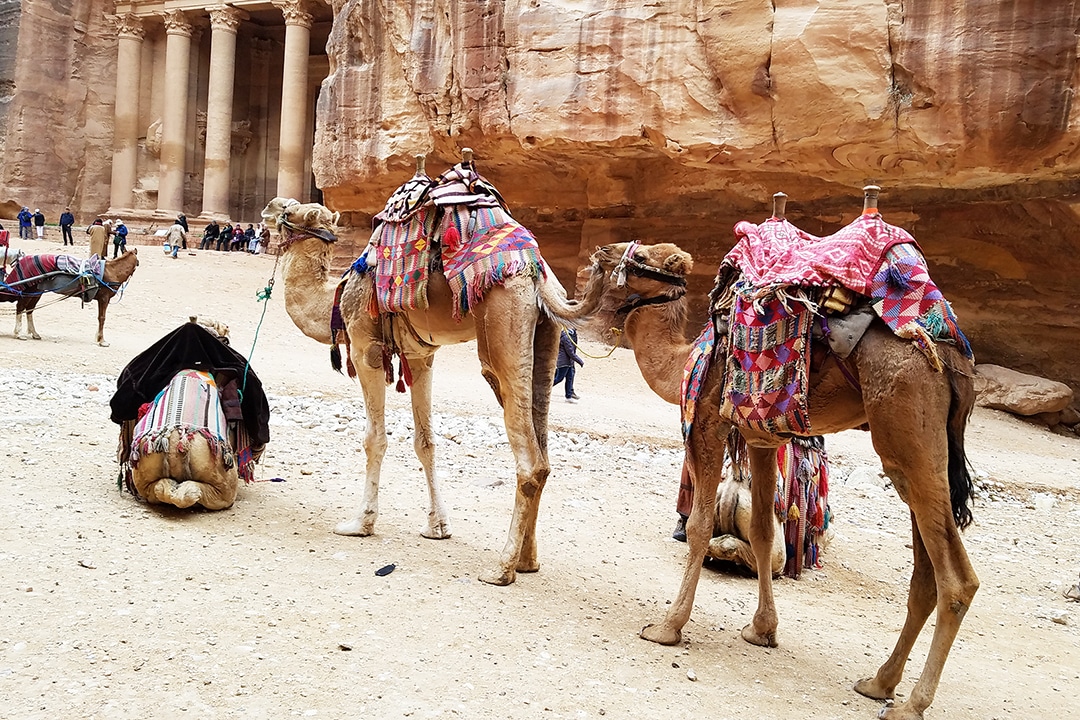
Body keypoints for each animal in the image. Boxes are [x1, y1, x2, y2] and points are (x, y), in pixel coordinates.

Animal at [0, 249, 139, 347]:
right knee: (20, 307)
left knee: (29, 309)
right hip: (29, 289)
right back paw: (18, 333)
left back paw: (34, 333)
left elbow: (101, 318)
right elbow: (102, 318)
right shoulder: (104, 298)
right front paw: (102, 340)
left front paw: (98, 338)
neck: (112, 271)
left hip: (36, 291)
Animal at [258, 157, 604, 587]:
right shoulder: (420, 356)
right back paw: (527, 560)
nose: (268, 207)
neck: (335, 298)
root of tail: (538, 274)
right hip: (545, 336)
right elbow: (426, 442)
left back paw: (501, 568)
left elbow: (374, 439)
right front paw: (437, 526)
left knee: (529, 459)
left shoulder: (366, 349)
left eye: (290, 213)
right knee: (542, 449)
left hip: (501, 326)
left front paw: (360, 523)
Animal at [583, 201, 980, 716]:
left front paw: (667, 627)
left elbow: (700, 525)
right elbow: (763, 531)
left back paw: (911, 702)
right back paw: (878, 682)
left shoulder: (709, 420)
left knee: (957, 579)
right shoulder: (762, 438)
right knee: (924, 572)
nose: (602, 250)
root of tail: (954, 359)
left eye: (643, 255)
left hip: (906, 423)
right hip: (917, 449)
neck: (685, 358)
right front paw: (761, 630)